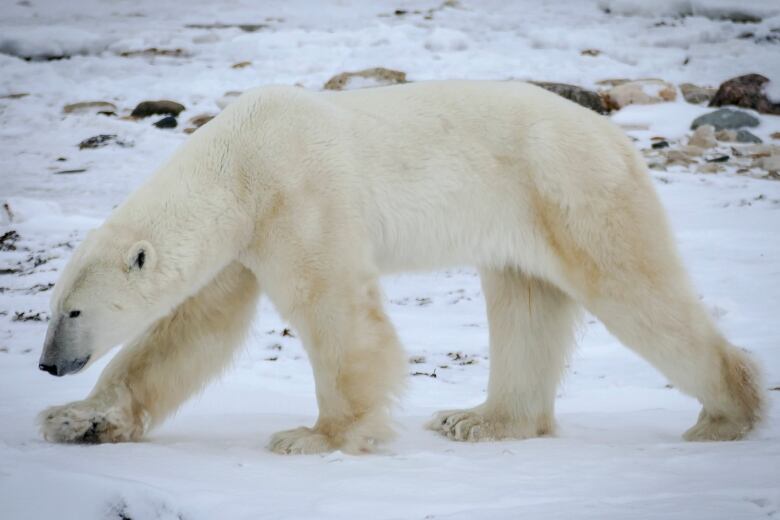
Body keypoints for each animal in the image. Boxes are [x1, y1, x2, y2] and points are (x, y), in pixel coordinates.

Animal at [38, 80, 760, 450]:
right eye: (54, 308)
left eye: (73, 311)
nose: (46, 365)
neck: (239, 159)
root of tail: (617, 137)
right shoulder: (241, 237)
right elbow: (190, 330)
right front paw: (75, 418)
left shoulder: (298, 192)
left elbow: (331, 306)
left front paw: (317, 435)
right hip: (523, 217)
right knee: (525, 305)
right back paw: (479, 419)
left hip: (571, 189)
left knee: (634, 291)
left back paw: (727, 414)